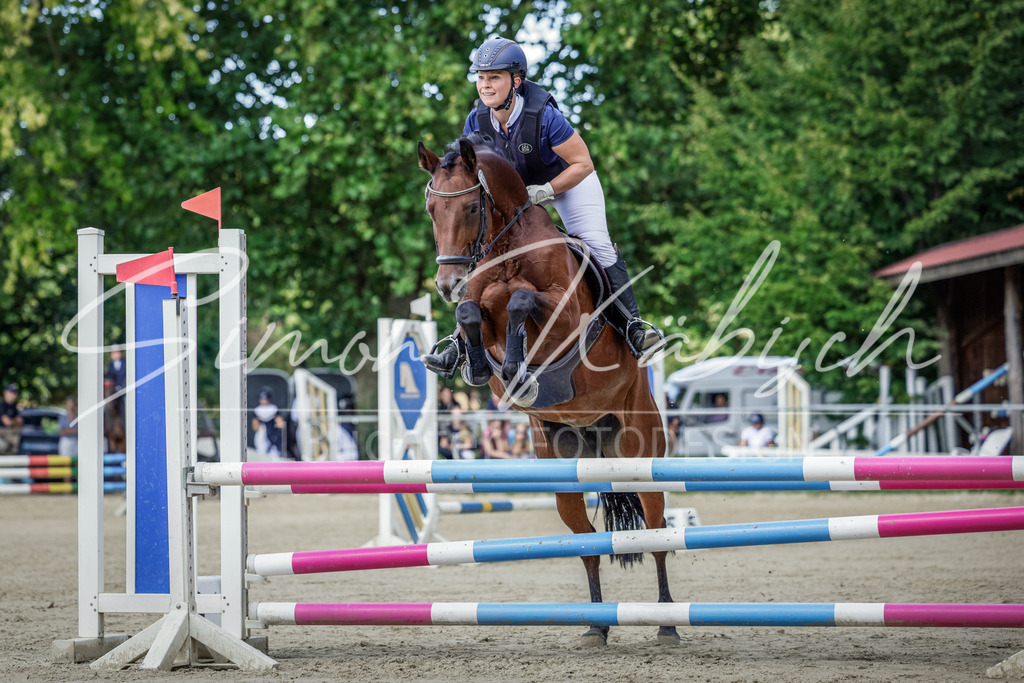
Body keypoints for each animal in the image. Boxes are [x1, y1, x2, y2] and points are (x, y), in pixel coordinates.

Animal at [417, 135, 677, 646]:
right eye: (432, 209)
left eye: (473, 206)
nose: (446, 283)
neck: (507, 249)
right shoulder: (481, 307)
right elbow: (472, 312)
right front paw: (480, 365)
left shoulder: (565, 317)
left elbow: (520, 300)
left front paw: (517, 367)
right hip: (563, 470)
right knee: (587, 544)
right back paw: (596, 627)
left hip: (641, 454)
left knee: (657, 534)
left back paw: (667, 624)